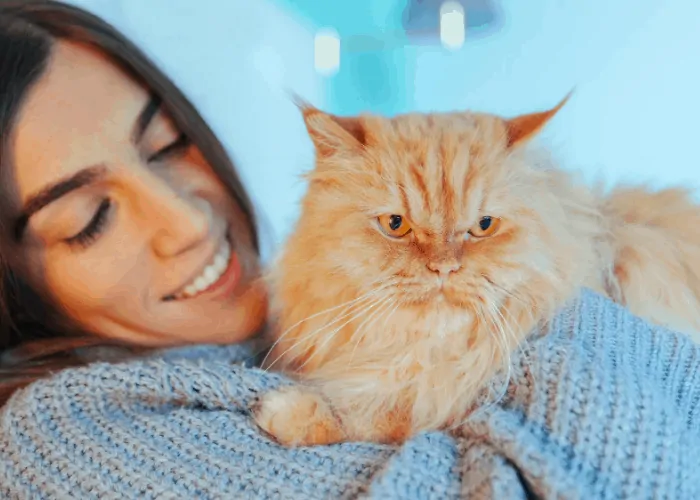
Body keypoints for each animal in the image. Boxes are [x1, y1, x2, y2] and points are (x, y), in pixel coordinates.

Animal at [252, 96, 700, 446]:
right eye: (396, 225)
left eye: (483, 226)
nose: (444, 268)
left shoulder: (449, 400)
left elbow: (386, 416)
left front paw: (288, 411)